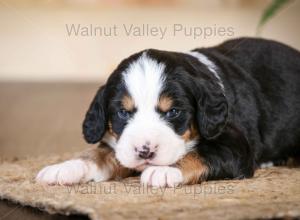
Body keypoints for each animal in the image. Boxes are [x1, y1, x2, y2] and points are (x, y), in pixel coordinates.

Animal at [35, 38, 300, 187]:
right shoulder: (120, 146)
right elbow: (97, 154)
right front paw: (64, 168)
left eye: (173, 112)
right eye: (123, 113)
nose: (145, 151)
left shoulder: (234, 146)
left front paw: (164, 171)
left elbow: (200, 153)